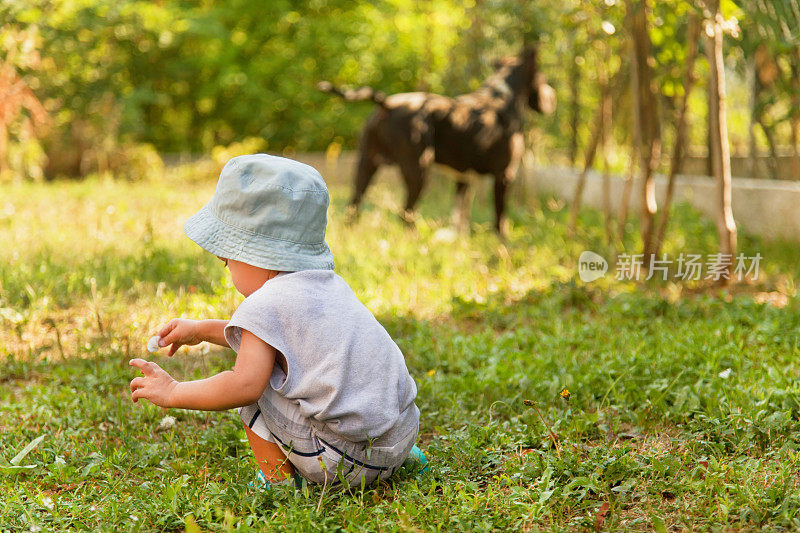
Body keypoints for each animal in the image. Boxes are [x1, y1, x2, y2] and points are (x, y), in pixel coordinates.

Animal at [316, 47, 552, 233]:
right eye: (544, 79)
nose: (552, 97)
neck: (501, 95)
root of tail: (387, 103)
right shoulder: (504, 176)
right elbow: (500, 218)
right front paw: (502, 243)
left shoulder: (464, 179)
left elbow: (460, 218)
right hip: (418, 171)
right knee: (405, 214)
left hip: (365, 167)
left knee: (354, 207)